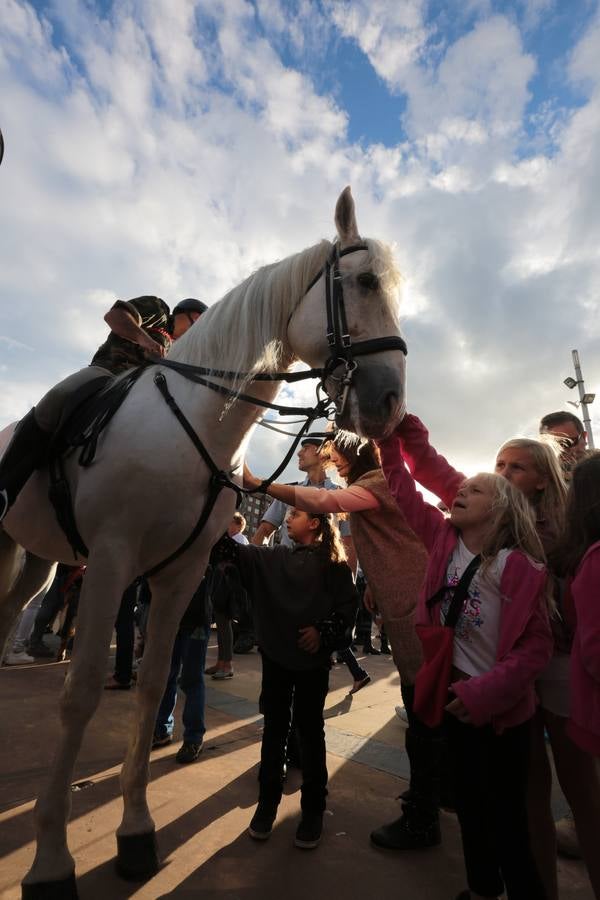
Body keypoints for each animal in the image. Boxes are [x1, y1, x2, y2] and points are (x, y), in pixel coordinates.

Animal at [0, 186, 406, 896]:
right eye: (361, 282)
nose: (390, 404)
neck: (191, 423)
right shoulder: (112, 563)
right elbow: (79, 695)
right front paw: (51, 861)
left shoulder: (181, 572)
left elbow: (153, 681)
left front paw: (135, 834)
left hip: (37, 560)